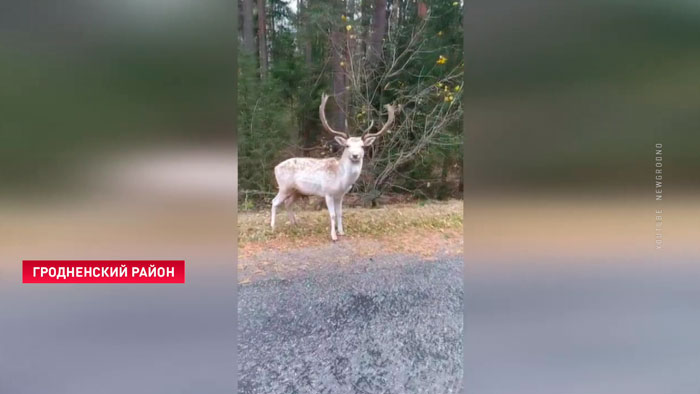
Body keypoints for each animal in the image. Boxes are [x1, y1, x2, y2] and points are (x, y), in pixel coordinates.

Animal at [270, 93, 396, 240]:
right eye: (347, 145)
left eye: (362, 146)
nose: (355, 155)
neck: (341, 179)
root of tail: (275, 167)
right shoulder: (328, 193)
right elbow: (332, 214)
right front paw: (334, 236)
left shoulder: (340, 195)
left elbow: (340, 213)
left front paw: (341, 232)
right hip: (284, 186)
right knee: (274, 201)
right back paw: (272, 227)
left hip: (296, 191)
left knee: (288, 203)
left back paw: (295, 224)